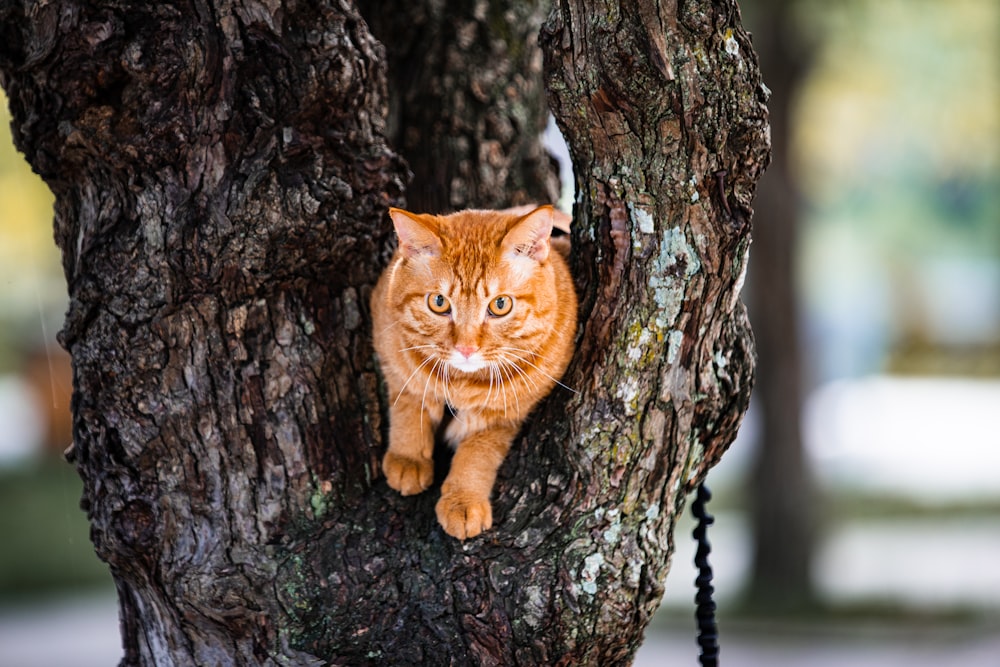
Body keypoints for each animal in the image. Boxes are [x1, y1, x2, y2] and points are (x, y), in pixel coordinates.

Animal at [372, 206, 580, 540]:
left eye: (500, 304)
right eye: (439, 302)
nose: (466, 348)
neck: (462, 383)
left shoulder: (508, 413)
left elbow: (478, 452)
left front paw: (463, 499)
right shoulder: (387, 339)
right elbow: (409, 399)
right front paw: (408, 457)